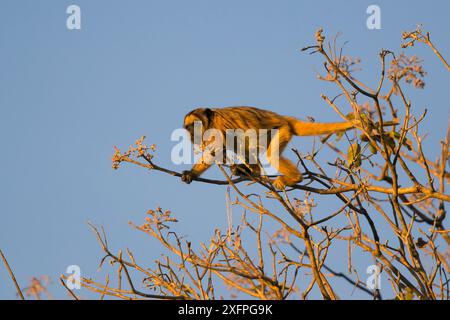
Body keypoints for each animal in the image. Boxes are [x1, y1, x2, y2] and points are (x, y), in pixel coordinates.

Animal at [181, 106, 356, 189]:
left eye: (195, 125)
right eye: (188, 127)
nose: (192, 133)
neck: (210, 121)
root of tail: (283, 118)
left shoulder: (218, 126)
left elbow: (214, 151)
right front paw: (191, 174)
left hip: (282, 130)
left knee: (271, 155)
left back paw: (294, 178)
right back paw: (251, 170)